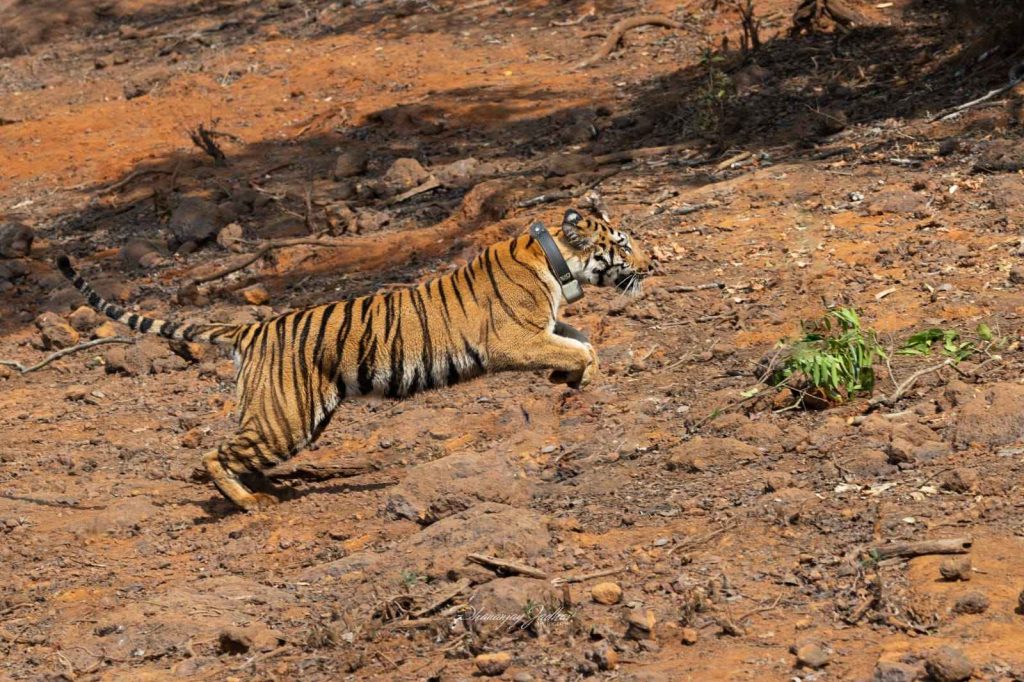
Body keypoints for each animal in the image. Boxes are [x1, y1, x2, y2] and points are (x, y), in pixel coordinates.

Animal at [56, 208, 652, 512]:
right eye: (623, 243)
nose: (654, 261)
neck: (556, 262)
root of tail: (250, 327)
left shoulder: (544, 327)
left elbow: (582, 339)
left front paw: (569, 375)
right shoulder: (513, 339)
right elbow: (581, 344)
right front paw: (575, 375)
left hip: (288, 414)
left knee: (239, 448)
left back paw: (267, 488)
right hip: (287, 417)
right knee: (214, 453)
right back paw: (249, 503)